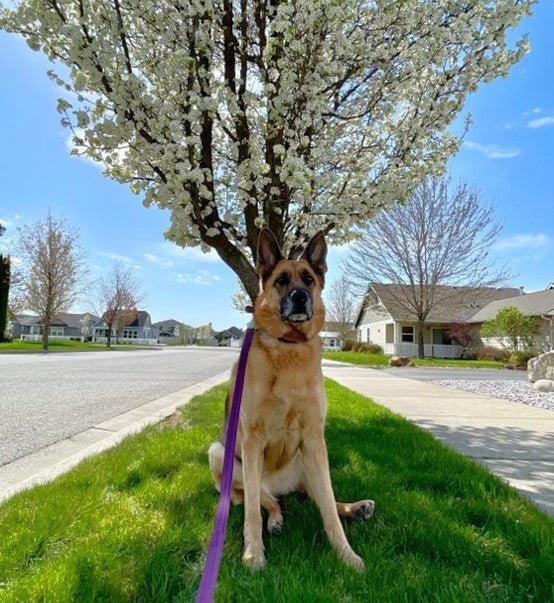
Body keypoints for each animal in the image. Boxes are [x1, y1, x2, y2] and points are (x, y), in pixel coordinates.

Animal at [209, 228, 374, 572]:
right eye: (282, 280)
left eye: (308, 280)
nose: (300, 297)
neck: (289, 346)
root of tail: (281, 485)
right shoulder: (251, 440)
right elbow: (251, 512)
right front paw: (254, 554)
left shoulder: (314, 440)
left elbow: (327, 509)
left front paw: (346, 555)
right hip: (221, 455)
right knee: (266, 500)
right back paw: (274, 520)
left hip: (308, 462)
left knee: (318, 498)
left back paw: (355, 508)